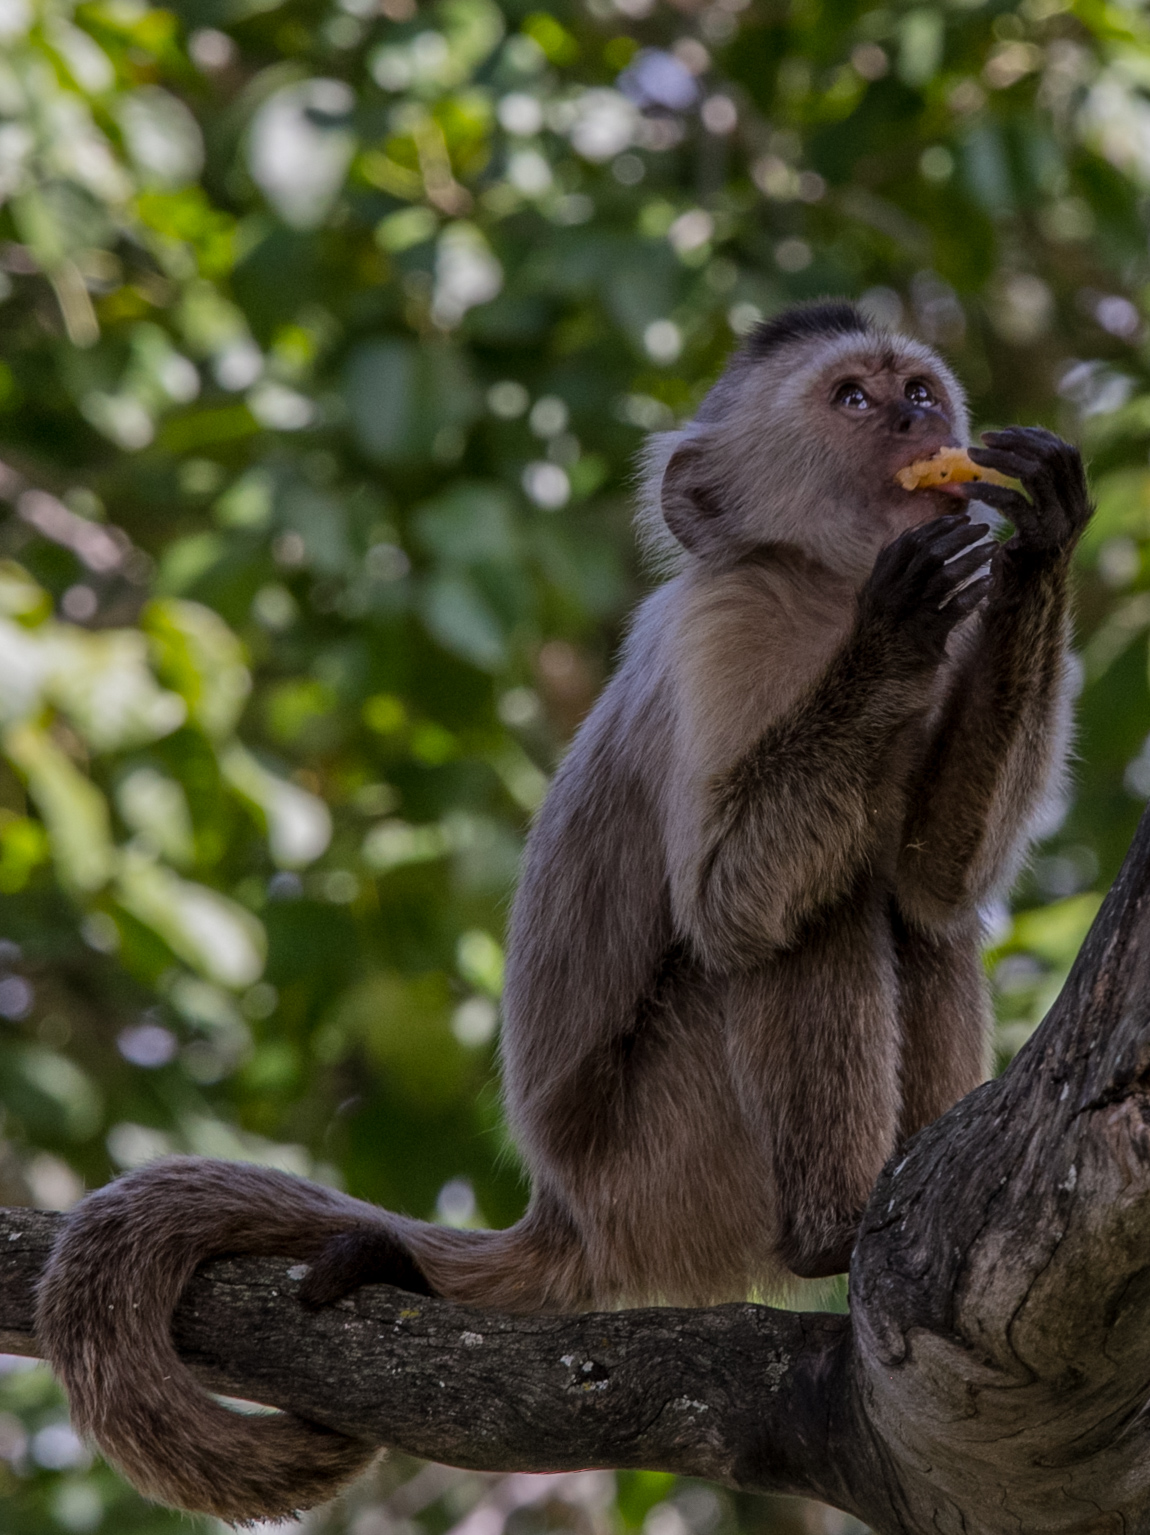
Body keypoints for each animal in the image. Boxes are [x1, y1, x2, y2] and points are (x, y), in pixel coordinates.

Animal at [35, 302, 1093, 1522]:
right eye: (853, 400)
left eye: (917, 389)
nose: (920, 421)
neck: (826, 592)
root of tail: (568, 1212)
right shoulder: (728, 626)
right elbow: (736, 902)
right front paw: (898, 629)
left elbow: (936, 880)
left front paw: (1043, 533)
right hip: (664, 1168)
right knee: (801, 925)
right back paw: (834, 1230)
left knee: (916, 920)